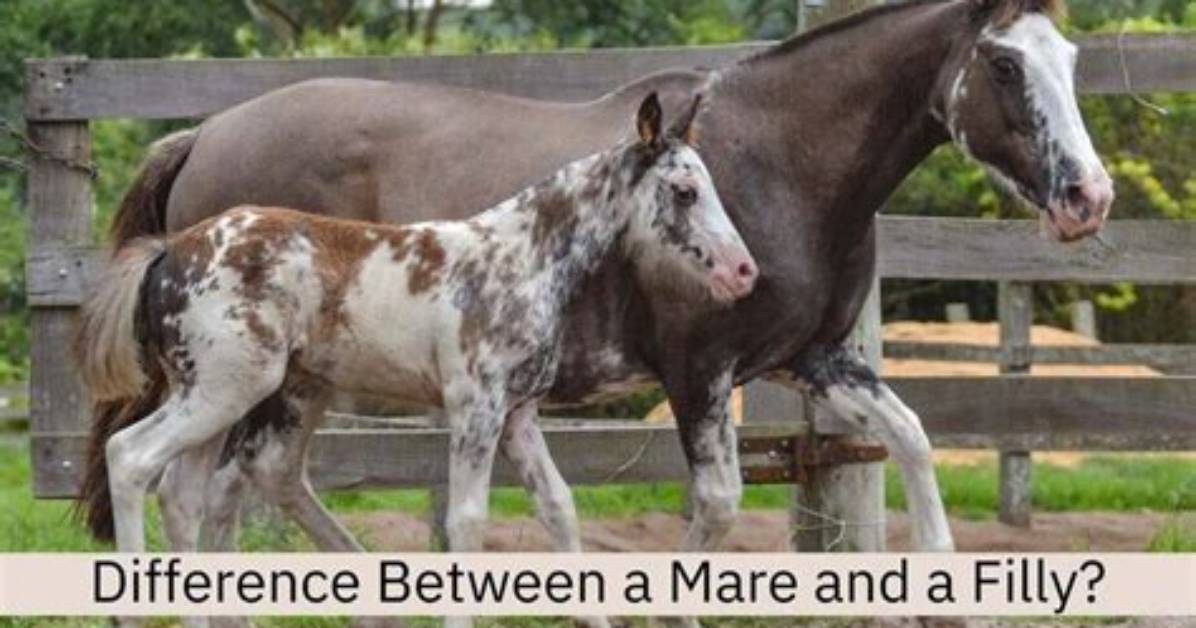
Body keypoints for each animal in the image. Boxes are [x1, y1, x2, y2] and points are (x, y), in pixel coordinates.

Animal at [83, 0, 1111, 574]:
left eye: (1071, 59)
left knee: (243, 483)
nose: (1088, 197)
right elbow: (720, 507)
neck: (780, 159)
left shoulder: (813, 360)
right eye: (1005, 63)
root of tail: (202, 136)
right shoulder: (700, 372)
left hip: (295, 381)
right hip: (261, 382)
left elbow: (913, 441)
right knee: (212, 481)